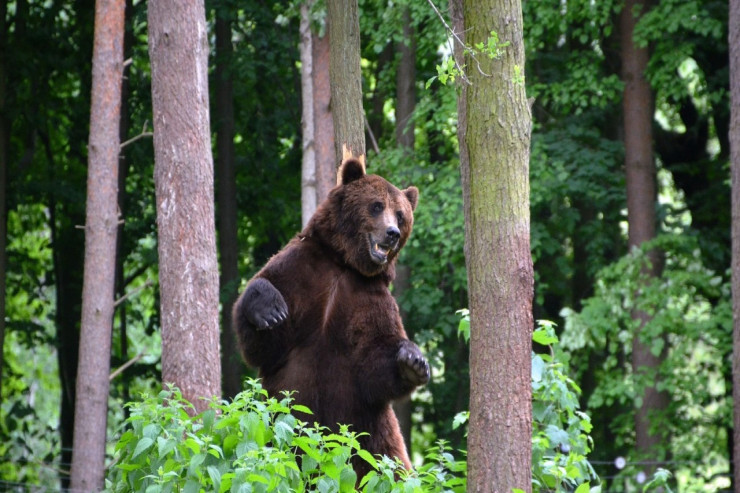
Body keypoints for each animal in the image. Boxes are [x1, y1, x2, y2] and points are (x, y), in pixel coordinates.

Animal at [231, 158, 428, 476]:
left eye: (400, 215)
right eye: (376, 206)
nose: (392, 233)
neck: (344, 264)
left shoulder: (369, 299)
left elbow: (375, 359)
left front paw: (413, 361)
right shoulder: (301, 268)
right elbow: (263, 345)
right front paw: (270, 310)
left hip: (369, 433)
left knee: (388, 467)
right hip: (276, 424)